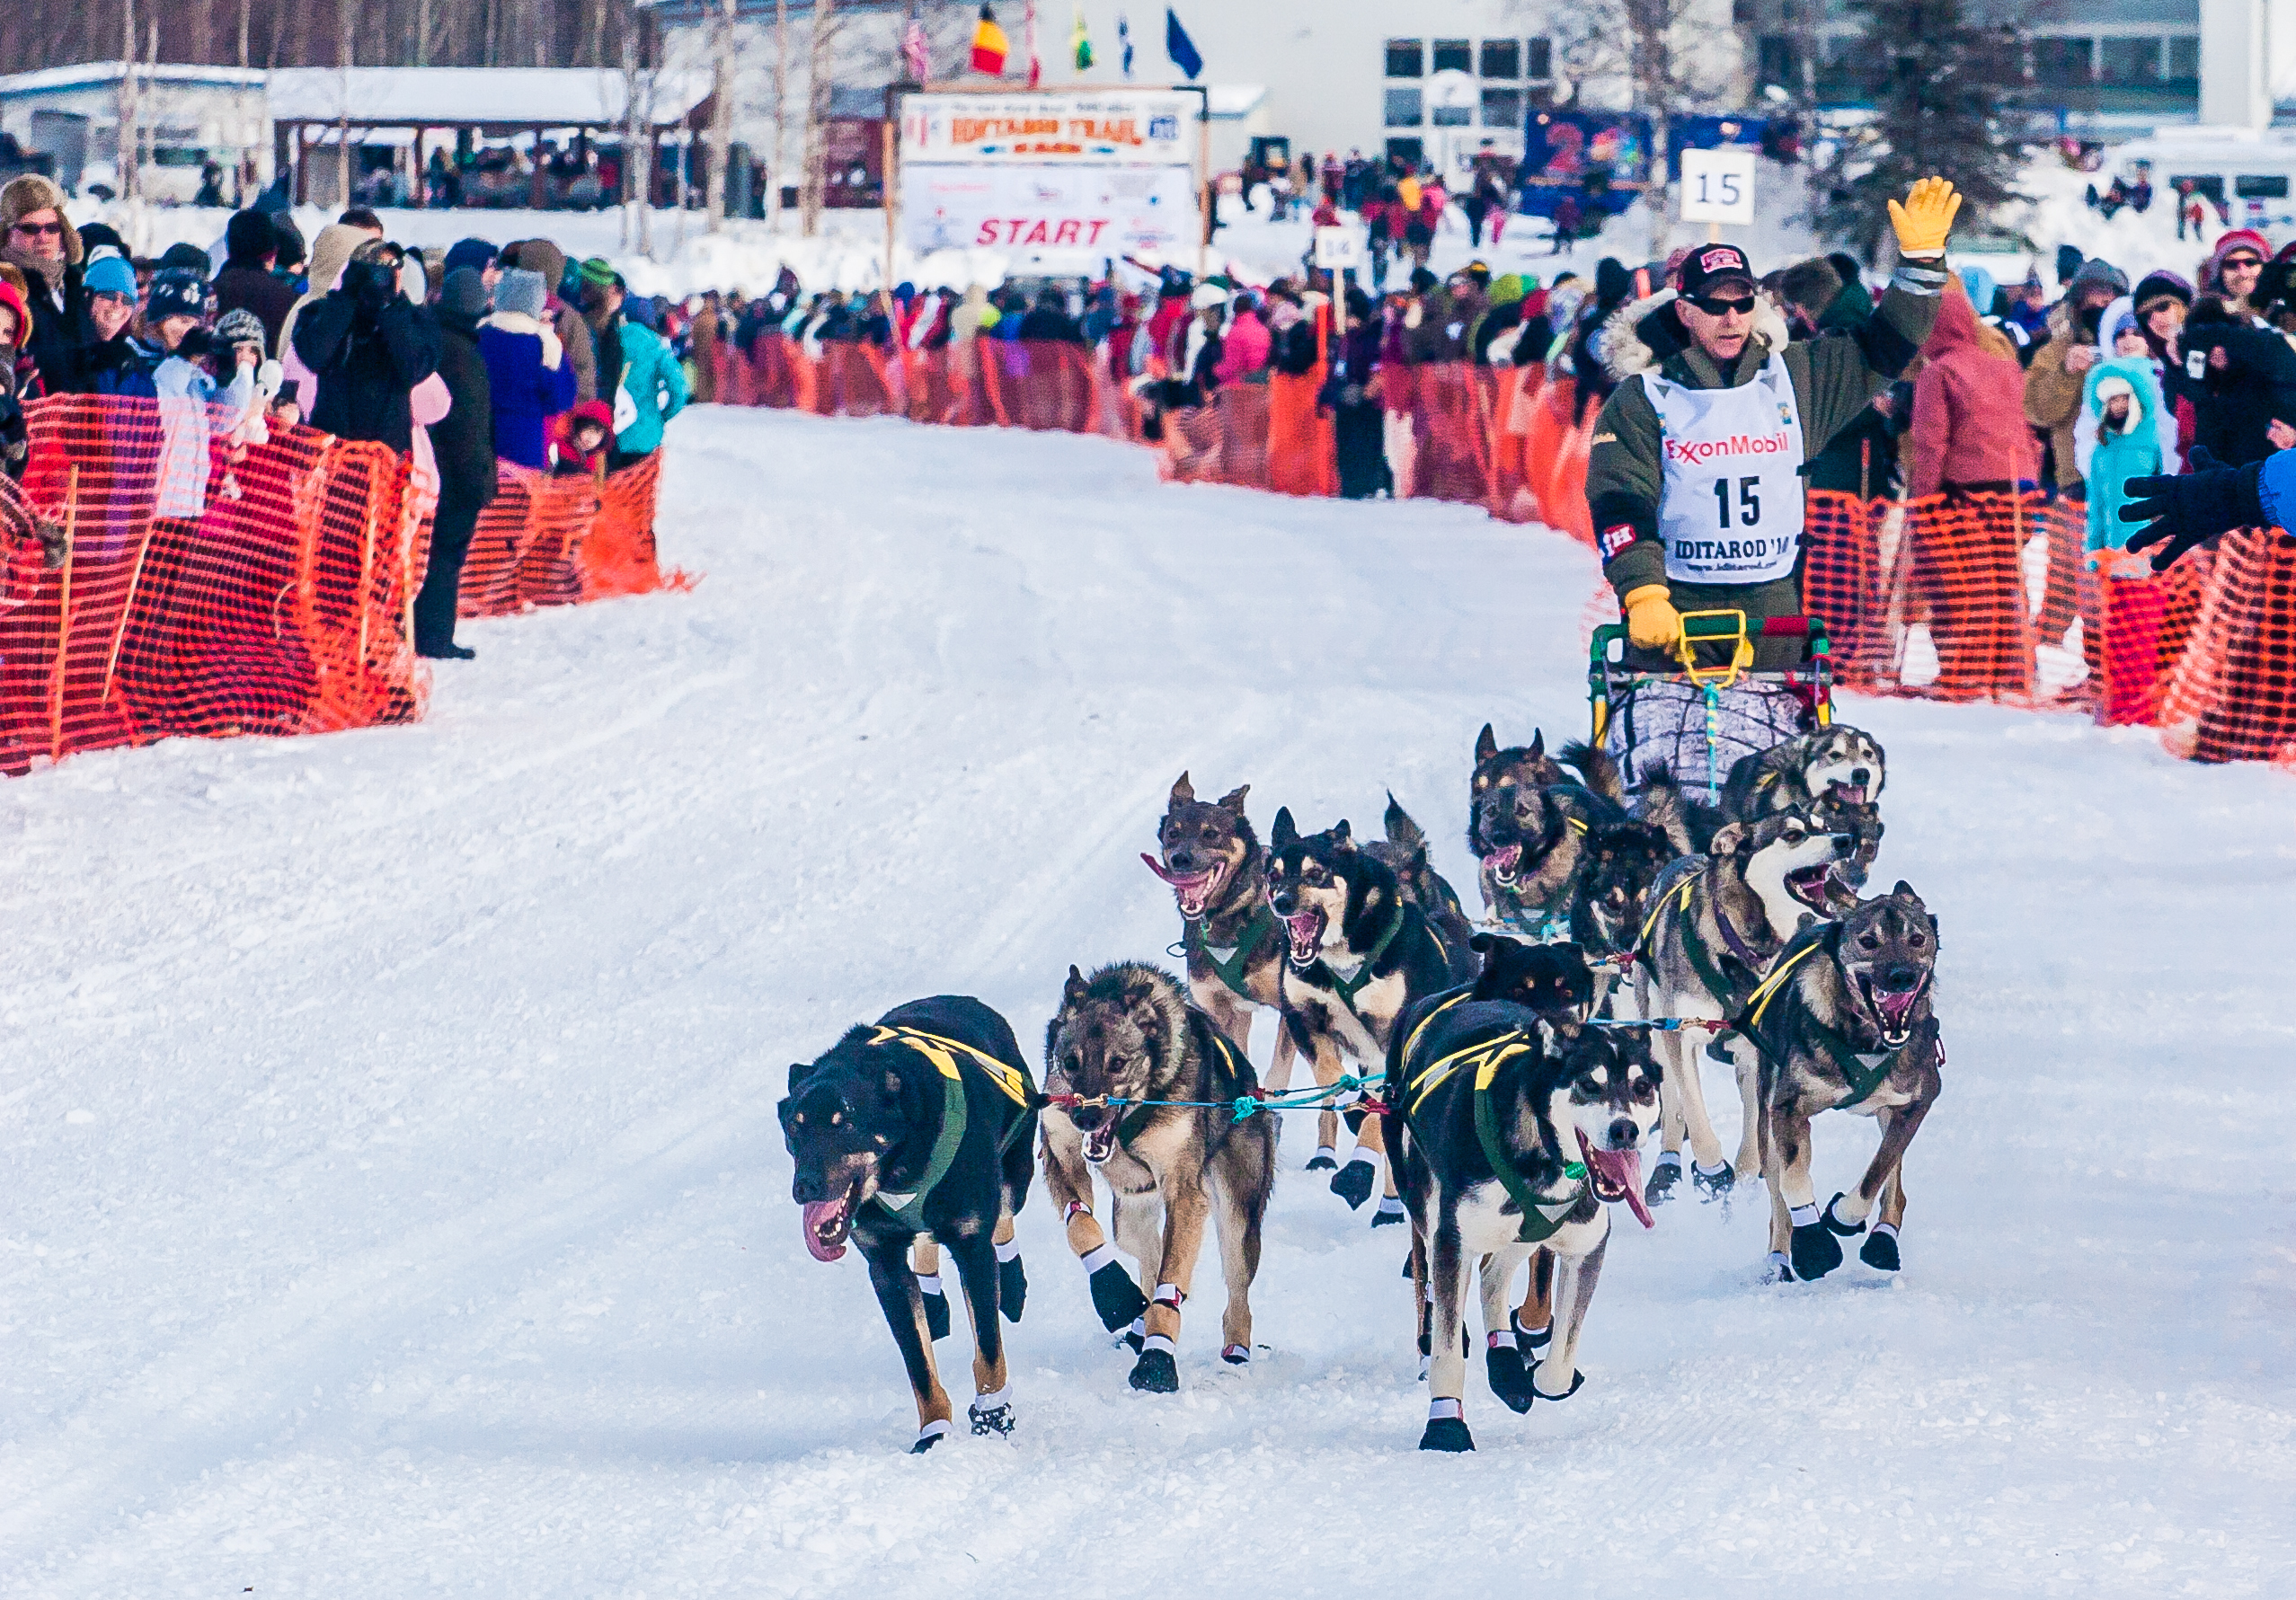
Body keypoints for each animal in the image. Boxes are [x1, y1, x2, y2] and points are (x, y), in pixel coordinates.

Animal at [789, 991, 1042, 1450]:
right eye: (793, 1128)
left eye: (844, 1123)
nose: (805, 1187)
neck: (900, 1168)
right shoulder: (884, 1266)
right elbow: (919, 1365)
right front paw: (934, 1433)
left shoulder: (971, 1246)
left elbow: (989, 1351)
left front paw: (993, 1417)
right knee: (926, 1242)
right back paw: (933, 1297)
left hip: (1017, 1173)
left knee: (1004, 1215)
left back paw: (1011, 1284)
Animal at [1378, 986, 1653, 1450]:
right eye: (1588, 1084)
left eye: (1642, 1087)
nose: (1624, 1130)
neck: (1545, 1153)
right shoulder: (1454, 1240)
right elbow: (1448, 1351)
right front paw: (1446, 1426)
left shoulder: (1585, 1246)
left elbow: (1560, 1362)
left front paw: (1532, 1377)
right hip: (1426, 1206)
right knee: (1434, 1280)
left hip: (1523, 1235)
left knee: (1493, 1277)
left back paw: (1506, 1362)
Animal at [1735, 886, 1937, 1285]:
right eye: (1868, 941)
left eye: (1917, 939)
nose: (1902, 976)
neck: (1866, 1040)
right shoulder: (1788, 1107)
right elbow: (1794, 1179)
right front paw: (1815, 1245)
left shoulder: (1917, 1101)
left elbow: (1878, 1172)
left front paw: (1842, 1217)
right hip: (1766, 1119)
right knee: (1777, 1199)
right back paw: (1780, 1259)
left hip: (1889, 1113)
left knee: (1895, 1187)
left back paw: (1883, 1241)